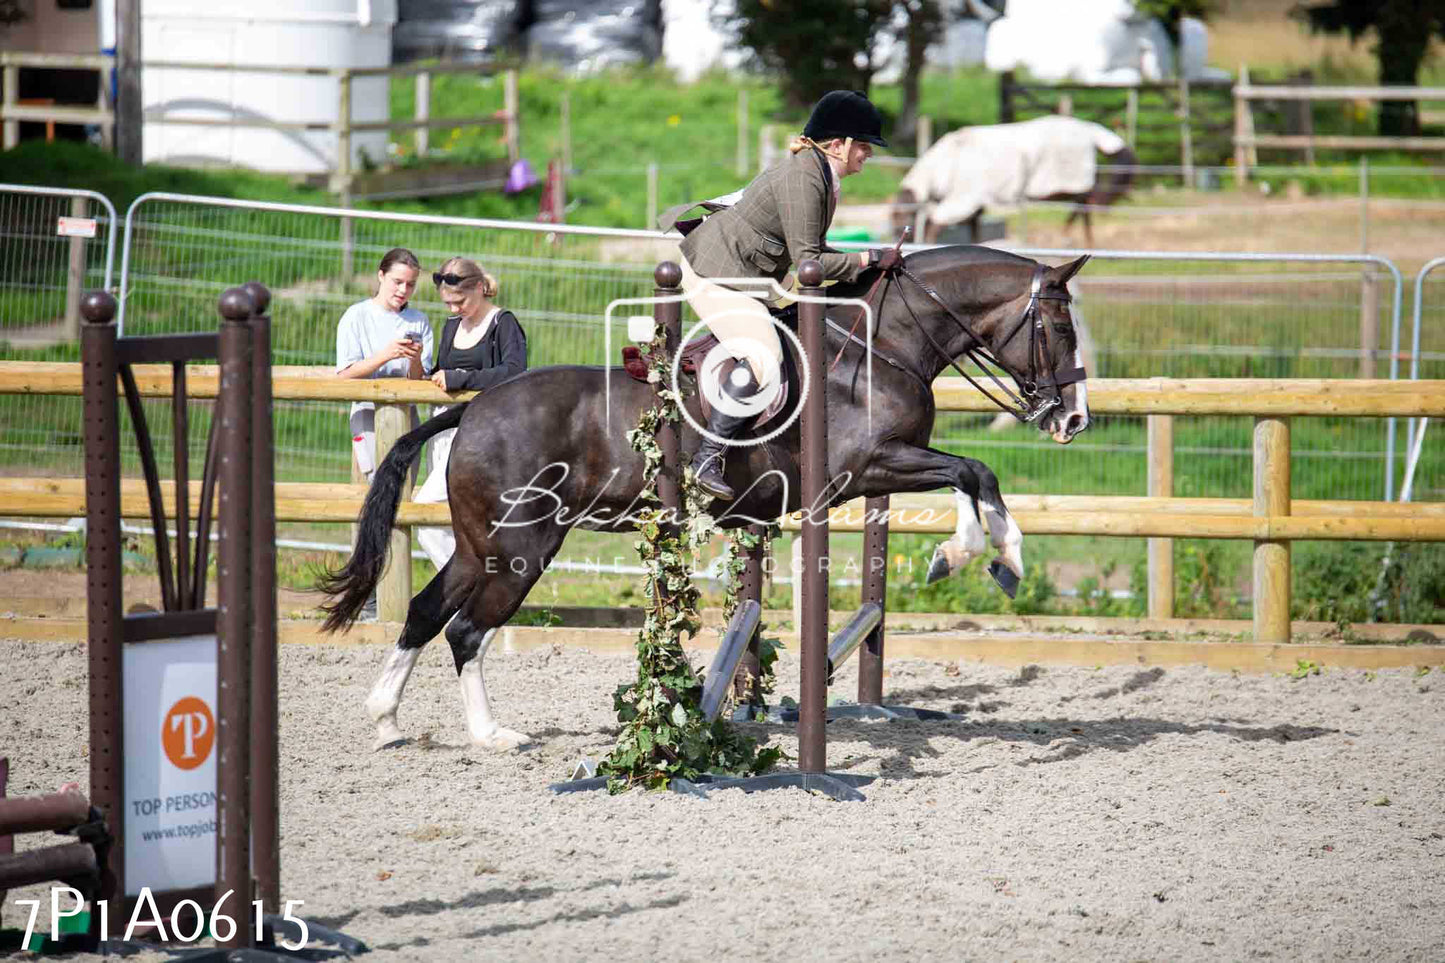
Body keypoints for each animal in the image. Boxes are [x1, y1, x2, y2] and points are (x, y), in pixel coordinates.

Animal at [322, 244, 1086, 746]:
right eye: (1056, 327)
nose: (1072, 419)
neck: (879, 347)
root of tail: (474, 409)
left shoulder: (874, 473)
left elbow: (970, 475)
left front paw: (985, 556)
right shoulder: (870, 466)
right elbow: (973, 472)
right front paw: (980, 557)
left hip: (480, 541)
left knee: (426, 611)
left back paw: (386, 719)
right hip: (523, 544)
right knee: (466, 629)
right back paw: (491, 735)